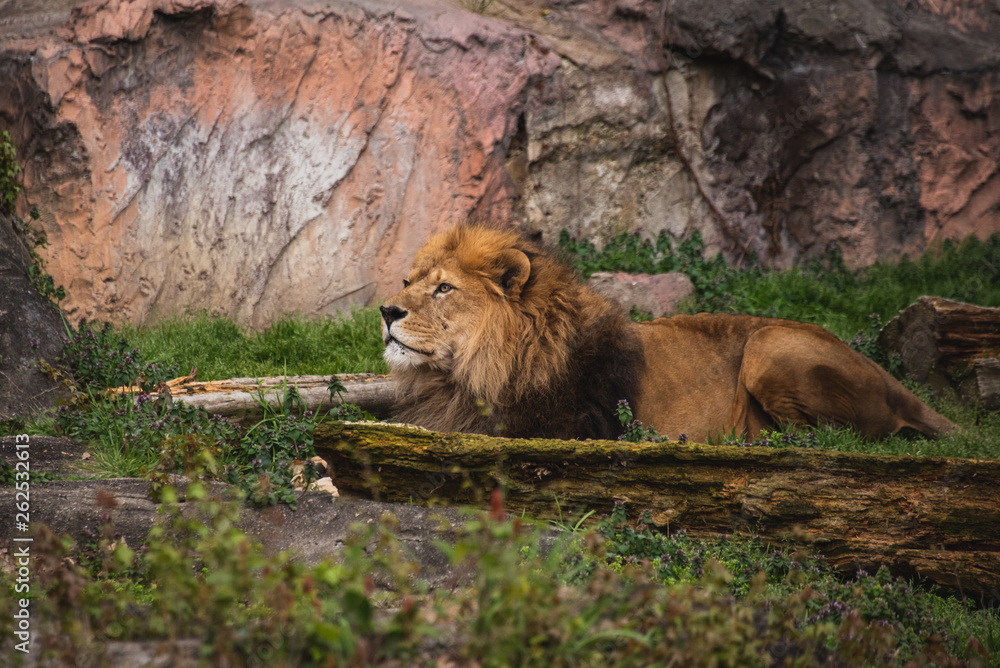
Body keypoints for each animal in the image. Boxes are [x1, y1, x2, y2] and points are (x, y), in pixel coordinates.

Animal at [379, 224, 956, 443]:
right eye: (408, 282)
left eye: (444, 289)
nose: (387, 311)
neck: (462, 376)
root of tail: (893, 383)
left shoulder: (567, 426)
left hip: (771, 344)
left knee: (834, 436)